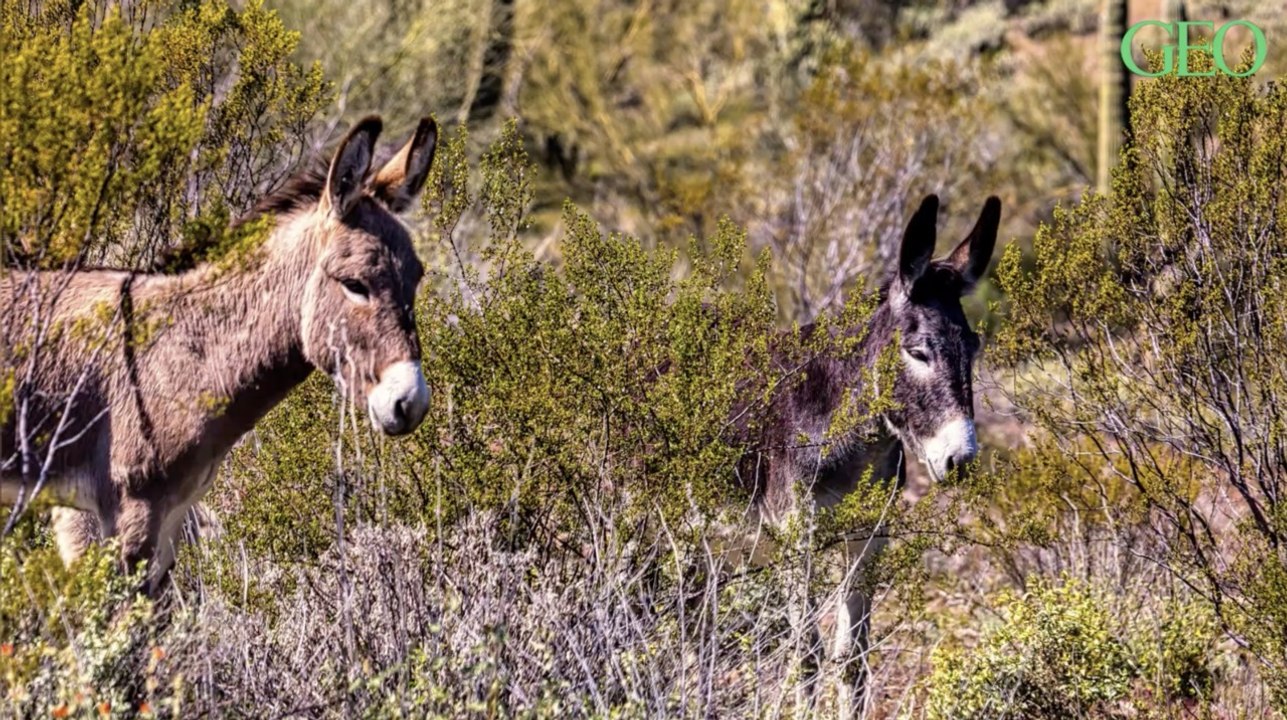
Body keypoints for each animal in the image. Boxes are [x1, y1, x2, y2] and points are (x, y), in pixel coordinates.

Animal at [0, 114, 438, 595]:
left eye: (417, 277)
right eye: (355, 284)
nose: (411, 402)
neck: (182, 352)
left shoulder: (170, 517)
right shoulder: (124, 512)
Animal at [741, 193, 1000, 713]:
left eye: (975, 346)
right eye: (918, 352)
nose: (960, 461)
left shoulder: (869, 537)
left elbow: (852, 660)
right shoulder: (792, 536)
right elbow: (806, 657)